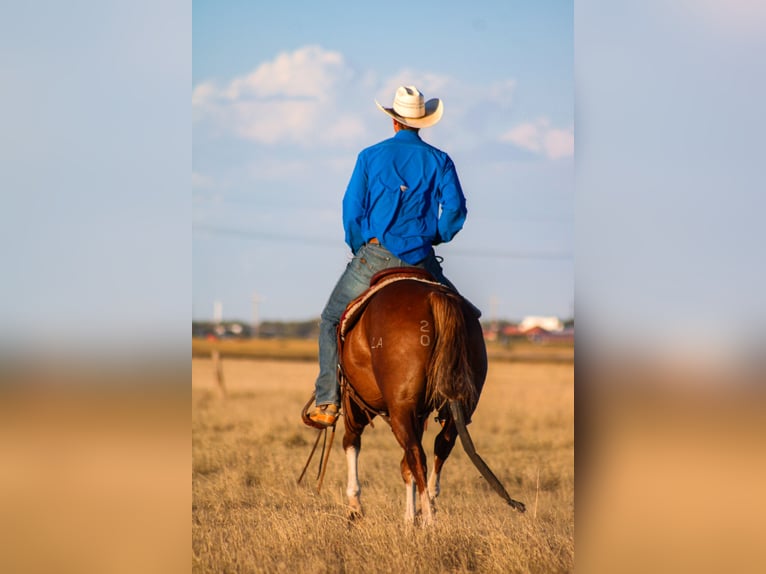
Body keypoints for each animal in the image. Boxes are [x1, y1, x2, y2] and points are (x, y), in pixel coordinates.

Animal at [328, 270, 524, 528]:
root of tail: (433, 297)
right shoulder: (419, 414)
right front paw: (409, 517)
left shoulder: (356, 403)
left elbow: (352, 443)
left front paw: (355, 507)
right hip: (457, 405)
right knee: (441, 444)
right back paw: (428, 504)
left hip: (396, 409)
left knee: (414, 454)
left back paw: (428, 518)